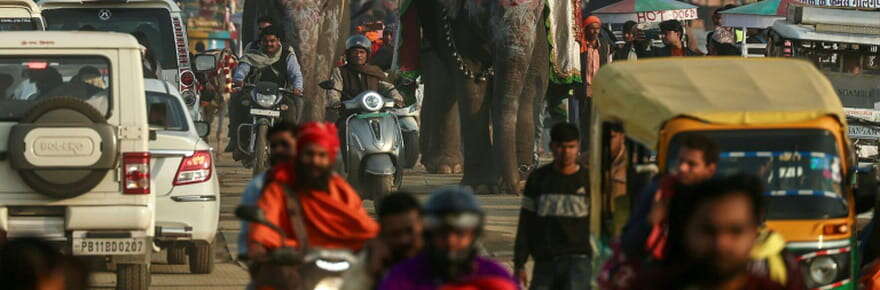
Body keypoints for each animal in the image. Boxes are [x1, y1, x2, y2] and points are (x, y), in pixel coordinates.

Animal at [398, 0, 552, 195]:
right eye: (485, 5)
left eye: (537, 9)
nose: (513, 188)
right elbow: (471, 78)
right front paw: (481, 187)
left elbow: (534, 73)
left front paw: (522, 182)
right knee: (441, 74)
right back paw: (446, 167)